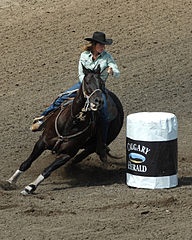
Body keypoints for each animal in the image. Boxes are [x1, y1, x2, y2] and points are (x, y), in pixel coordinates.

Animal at [3, 64, 124, 195]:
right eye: (87, 82)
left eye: (102, 83)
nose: (98, 101)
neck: (72, 122)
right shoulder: (41, 142)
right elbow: (26, 163)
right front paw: (10, 181)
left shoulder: (67, 154)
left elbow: (47, 170)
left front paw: (30, 187)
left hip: (95, 145)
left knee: (80, 157)